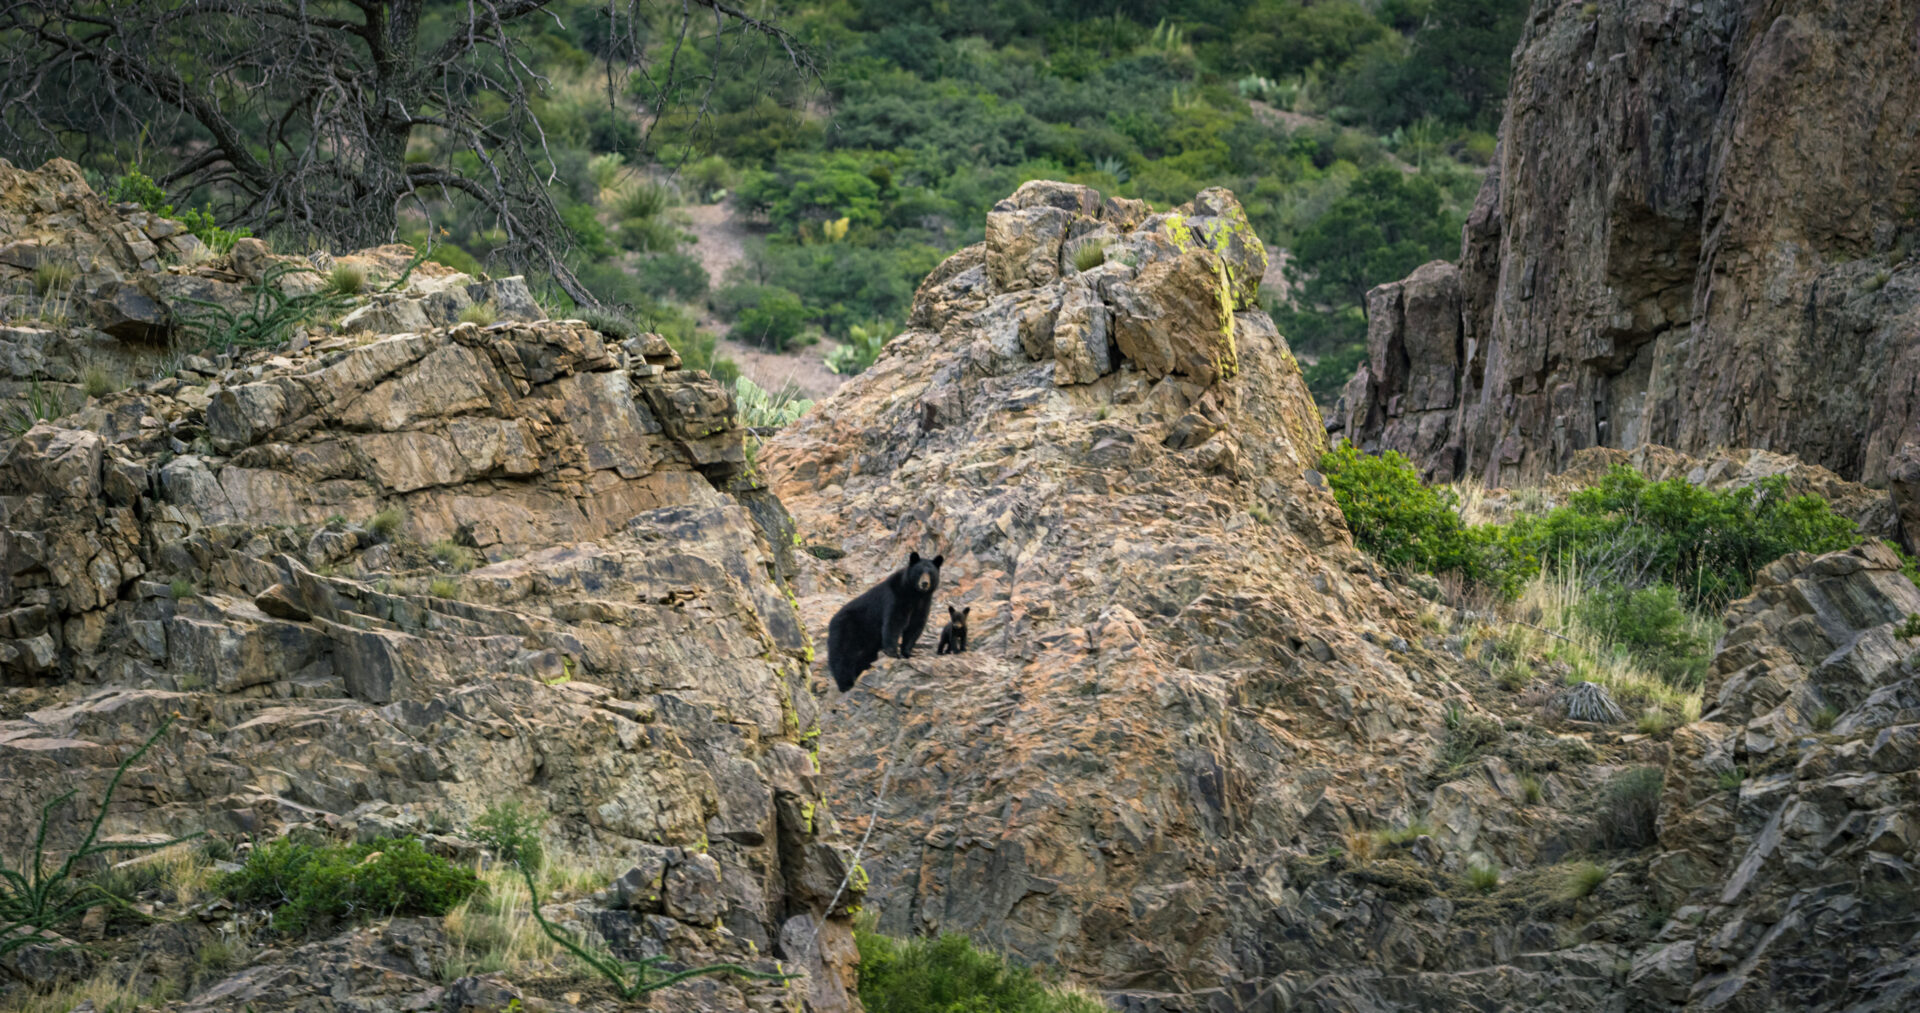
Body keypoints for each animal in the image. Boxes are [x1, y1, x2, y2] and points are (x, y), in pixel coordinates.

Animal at [829, 548, 940, 690]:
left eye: (931, 573)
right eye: (919, 572)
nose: (924, 583)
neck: (915, 594)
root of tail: (831, 622)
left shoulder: (923, 604)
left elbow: (915, 627)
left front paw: (907, 652)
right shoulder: (896, 597)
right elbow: (894, 622)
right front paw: (893, 652)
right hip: (846, 630)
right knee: (842, 658)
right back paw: (846, 684)